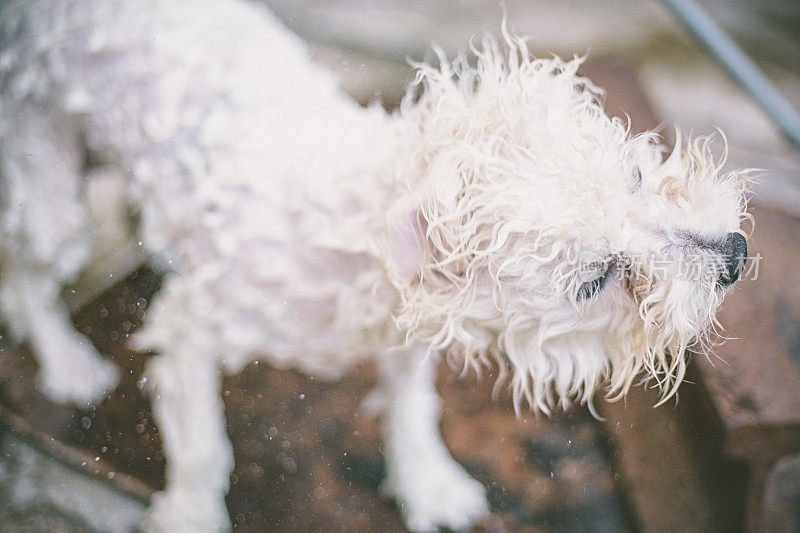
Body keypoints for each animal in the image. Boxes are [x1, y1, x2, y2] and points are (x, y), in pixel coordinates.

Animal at [0, 1, 752, 528]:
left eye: (635, 176)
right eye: (595, 280)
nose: (736, 257)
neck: (353, 255)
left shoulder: (404, 338)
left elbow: (411, 412)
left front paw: (429, 486)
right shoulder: (191, 327)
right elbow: (204, 450)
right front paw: (190, 515)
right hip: (48, 187)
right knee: (30, 277)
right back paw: (69, 366)